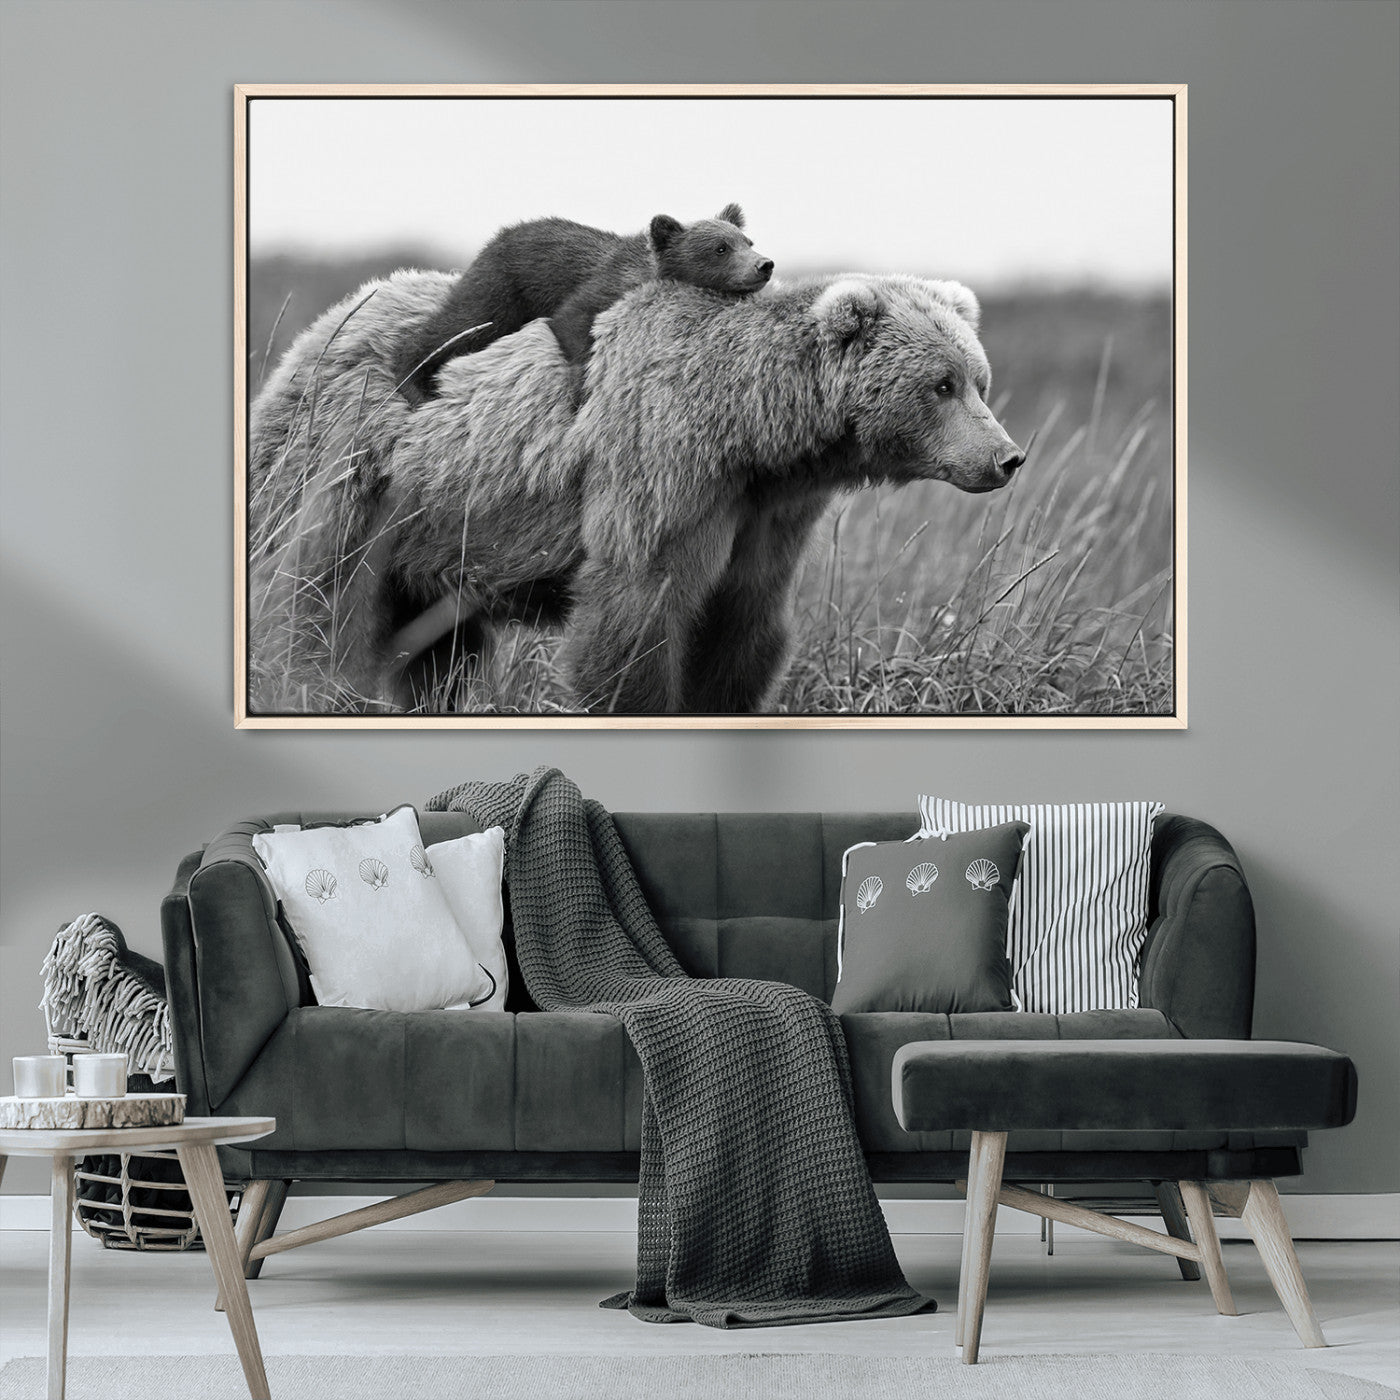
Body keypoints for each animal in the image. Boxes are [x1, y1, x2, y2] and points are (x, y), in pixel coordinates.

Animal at [247, 269, 1024, 715]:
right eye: (941, 384)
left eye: (979, 380)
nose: (1007, 456)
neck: (753, 431)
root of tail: (325, 323)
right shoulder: (662, 468)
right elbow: (635, 614)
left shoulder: (766, 514)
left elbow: (742, 626)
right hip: (353, 475)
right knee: (317, 602)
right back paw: (309, 686)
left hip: (438, 531)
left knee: (439, 650)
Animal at [388, 204, 773, 405]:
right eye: (720, 248)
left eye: (748, 240)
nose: (764, 265)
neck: (646, 272)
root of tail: (497, 236)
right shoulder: (601, 286)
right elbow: (571, 320)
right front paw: (581, 388)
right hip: (502, 288)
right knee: (460, 325)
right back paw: (414, 382)